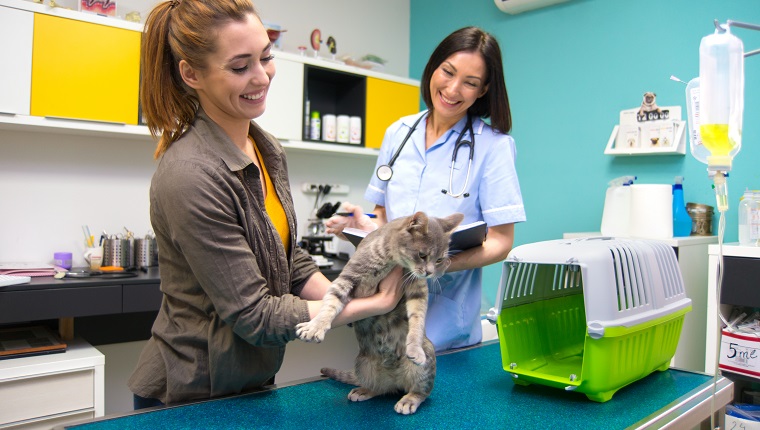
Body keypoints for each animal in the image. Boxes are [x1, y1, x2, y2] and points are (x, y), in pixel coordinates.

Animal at [296, 211, 464, 414]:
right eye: (422, 255)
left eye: (438, 259)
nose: (430, 272)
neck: (393, 262)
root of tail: (395, 380)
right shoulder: (349, 278)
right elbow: (330, 303)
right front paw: (315, 326)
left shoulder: (418, 291)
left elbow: (418, 320)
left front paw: (414, 347)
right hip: (363, 364)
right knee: (380, 389)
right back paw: (364, 390)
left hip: (426, 361)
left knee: (421, 391)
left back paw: (410, 399)